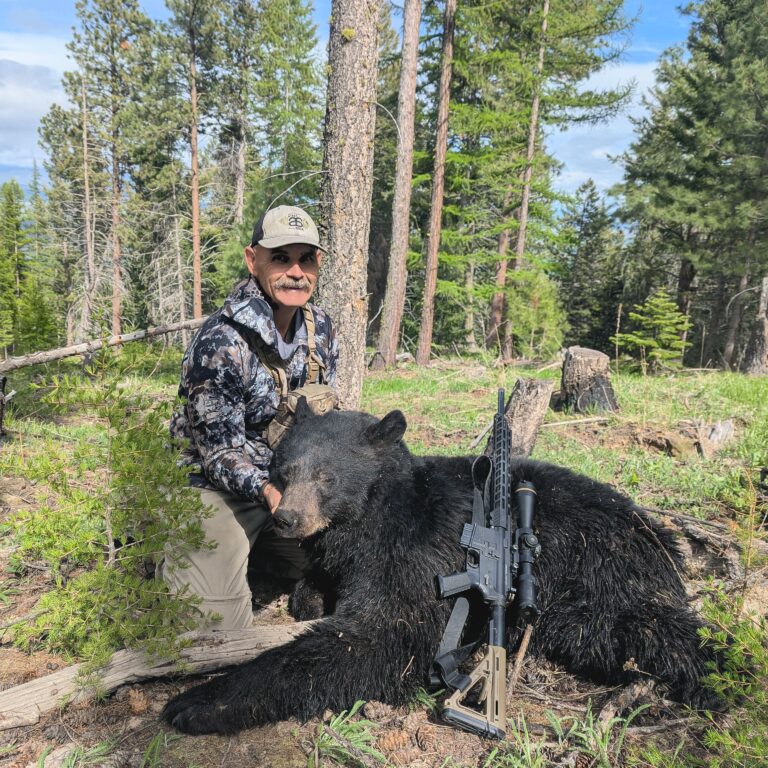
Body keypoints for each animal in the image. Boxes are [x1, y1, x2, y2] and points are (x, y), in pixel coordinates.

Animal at [163, 407, 717, 735]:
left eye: (325, 476)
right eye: (283, 471)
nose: (287, 518)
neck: (374, 513)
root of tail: (658, 533)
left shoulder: (417, 554)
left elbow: (383, 635)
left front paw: (198, 701)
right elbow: (317, 586)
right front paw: (310, 594)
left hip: (599, 570)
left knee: (641, 627)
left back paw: (702, 678)